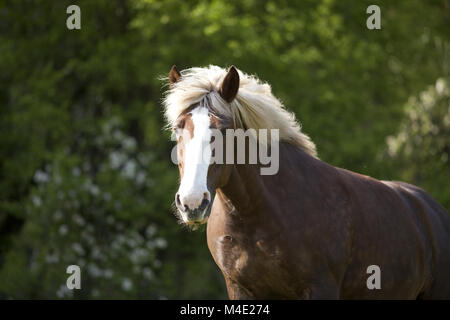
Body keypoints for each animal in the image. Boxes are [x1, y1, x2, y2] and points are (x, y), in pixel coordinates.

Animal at [163, 63, 450, 298]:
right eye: (178, 127)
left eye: (223, 130)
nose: (192, 203)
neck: (260, 215)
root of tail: (431, 210)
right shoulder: (240, 289)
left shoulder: (320, 288)